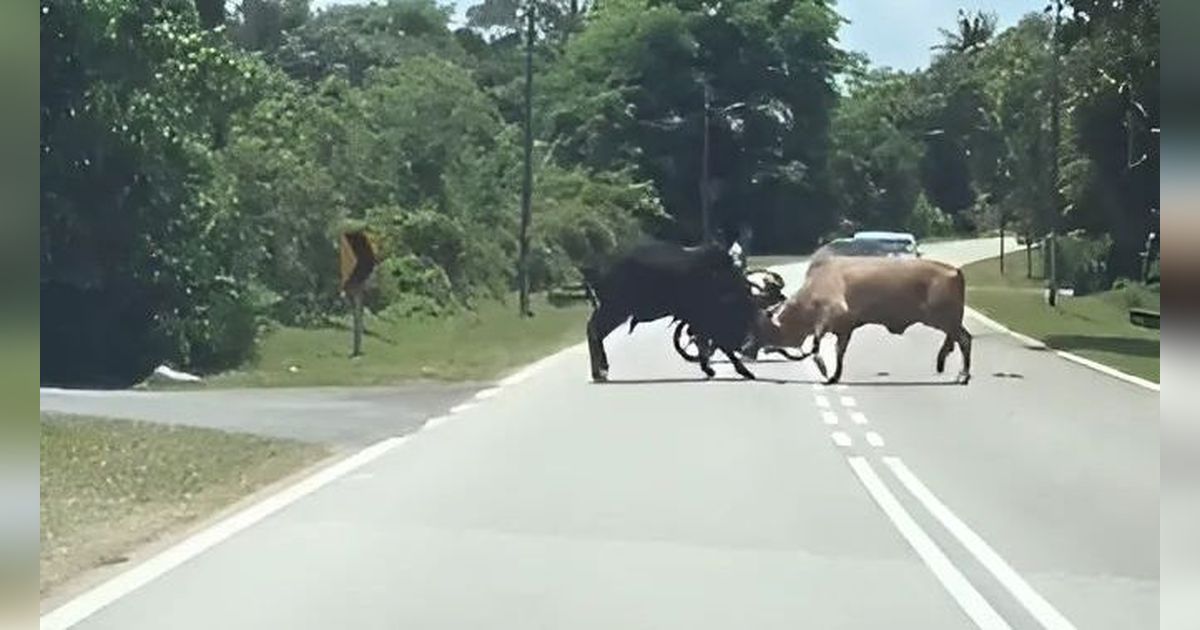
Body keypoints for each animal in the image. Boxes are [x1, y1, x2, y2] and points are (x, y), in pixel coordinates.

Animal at [580, 240, 758, 381]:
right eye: (741, 312)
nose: (744, 345)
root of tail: (593, 270)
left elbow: (704, 344)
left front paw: (710, 369)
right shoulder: (702, 319)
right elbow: (716, 344)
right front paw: (744, 372)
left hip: (613, 310)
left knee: (594, 330)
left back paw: (600, 372)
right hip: (615, 309)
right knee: (594, 329)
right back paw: (600, 372)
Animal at [758, 254, 974, 384]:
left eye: (770, 327)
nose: (763, 347)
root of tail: (956, 271)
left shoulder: (830, 315)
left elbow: (817, 345)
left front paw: (824, 369)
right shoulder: (845, 328)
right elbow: (839, 352)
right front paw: (834, 375)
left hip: (944, 320)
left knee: (965, 340)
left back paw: (963, 375)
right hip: (950, 322)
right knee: (961, 339)